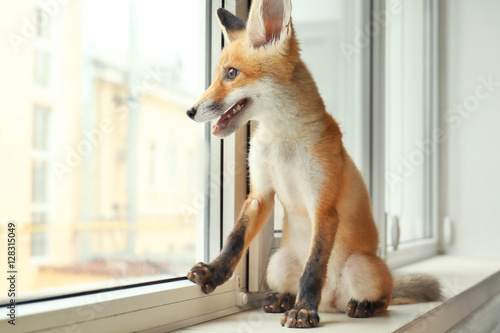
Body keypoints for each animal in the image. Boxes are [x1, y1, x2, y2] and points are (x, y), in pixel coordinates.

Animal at [186, 0, 440, 326]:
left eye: (231, 73)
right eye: (219, 73)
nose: (190, 111)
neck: (282, 141)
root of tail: (331, 301)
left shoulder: (323, 205)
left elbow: (313, 269)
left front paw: (305, 310)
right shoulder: (260, 194)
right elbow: (234, 240)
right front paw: (214, 273)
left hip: (362, 265)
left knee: (385, 297)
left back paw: (359, 306)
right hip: (276, 262)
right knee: (290, 284)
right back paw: (282, 298)